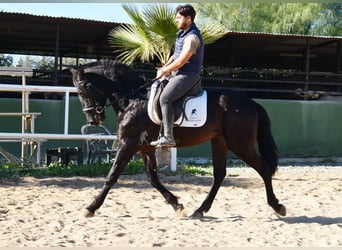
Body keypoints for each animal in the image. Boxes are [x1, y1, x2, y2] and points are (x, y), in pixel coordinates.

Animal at [70, 59, 286, 218]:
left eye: (82, 91)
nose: (93, 119)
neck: (133, 100)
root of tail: (251, 103)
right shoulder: (145, 147)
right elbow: (153, 178)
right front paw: (176, 205)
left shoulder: (128, 144)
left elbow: (112, 176)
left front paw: (91, 207)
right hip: (220, 142)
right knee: (219, 175)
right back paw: (200, 210)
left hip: (240, 144)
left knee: (263, 169)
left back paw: (277, 206)